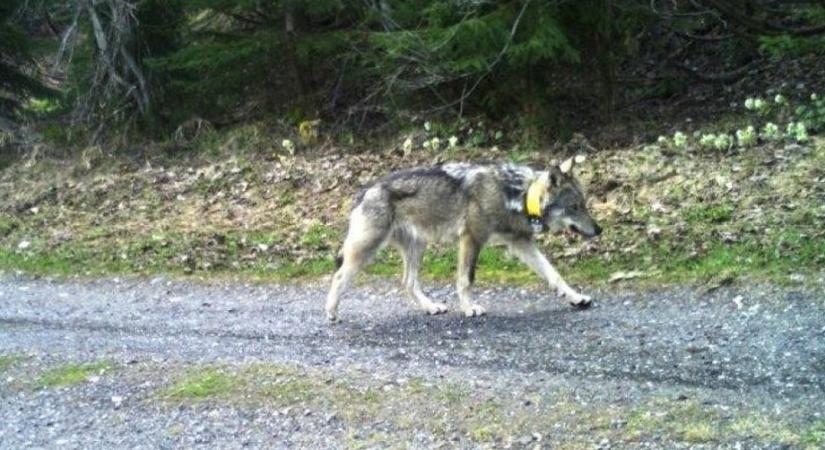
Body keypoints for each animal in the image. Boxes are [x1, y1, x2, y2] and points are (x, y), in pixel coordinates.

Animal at [326, 156, 600, 322]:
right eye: (575, 207)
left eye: (584, 204)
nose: (599, 230)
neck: (516, 194)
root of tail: (365, 189)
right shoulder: (471, 239)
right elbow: (466, 280)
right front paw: (469, 308)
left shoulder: (521, 243)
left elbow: (554, 274)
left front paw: (576, 298)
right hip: (367, 250)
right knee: (339, 276)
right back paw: (332, 312)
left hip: (417, 248)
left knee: (408, 282)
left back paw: (431, 307)